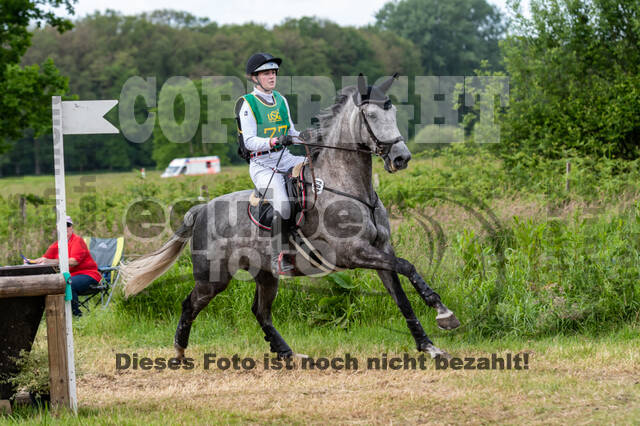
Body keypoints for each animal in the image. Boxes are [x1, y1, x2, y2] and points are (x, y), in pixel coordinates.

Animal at [120, 74, 460, 360]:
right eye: (372, 116)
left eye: (394, 113)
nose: (401, 158)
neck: (352, 188)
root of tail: (201, 209)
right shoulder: (354, 253)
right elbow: (408, 266)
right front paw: (444, 313)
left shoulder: (381, 251)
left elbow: (401, 294)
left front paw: (430, 346)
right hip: (213, 277)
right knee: (191, 304)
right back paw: (179, 352)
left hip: (264, 273)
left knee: (260, 311)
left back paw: (287, 353)